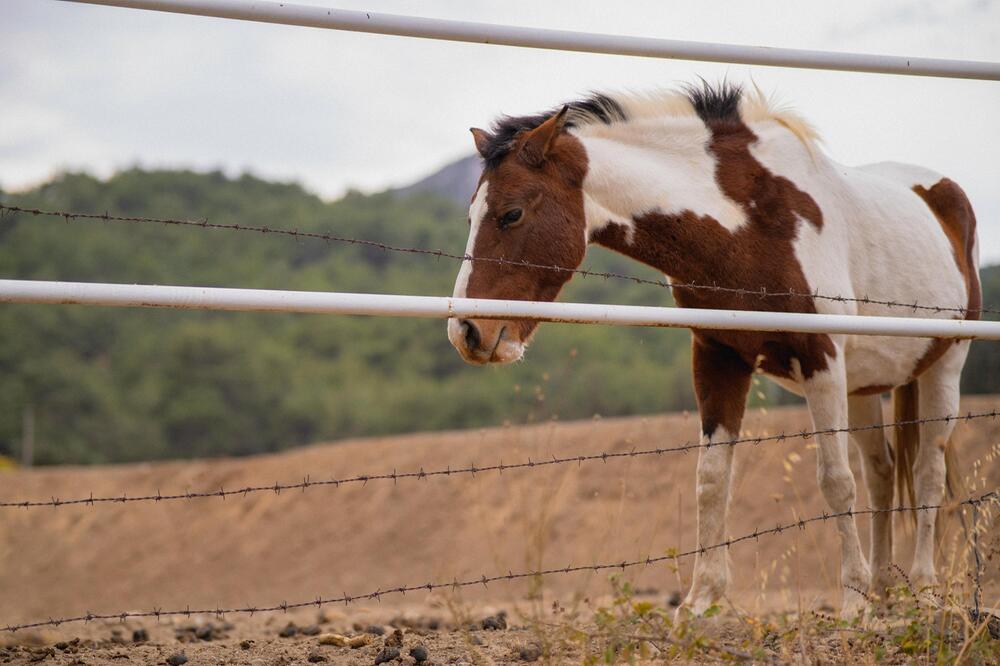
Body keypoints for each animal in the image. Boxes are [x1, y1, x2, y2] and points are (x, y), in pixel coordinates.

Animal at [446, 80, 976, 616]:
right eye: (468, 215)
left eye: (512, 213)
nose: (466, 332)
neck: (752, 223)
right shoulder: (719, 357)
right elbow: (711, 480)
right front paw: (702, 602)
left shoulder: (821, 359)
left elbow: (835, 481)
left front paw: (851, 601)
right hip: (864, 385)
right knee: (882, 472)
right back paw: (885, 589)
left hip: (944, 369)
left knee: (926, 472)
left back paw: (921, 585)